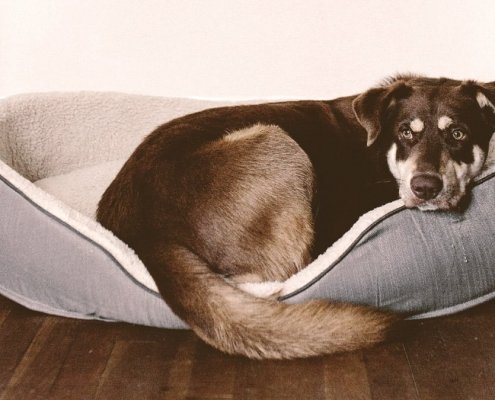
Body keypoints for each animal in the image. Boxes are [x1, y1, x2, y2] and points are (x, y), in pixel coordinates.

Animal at [97, 75, 495, 360]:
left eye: (458, 133)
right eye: (406, 132)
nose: (425, 187)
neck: (381, 151)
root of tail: (144, 234)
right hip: (277, 142)